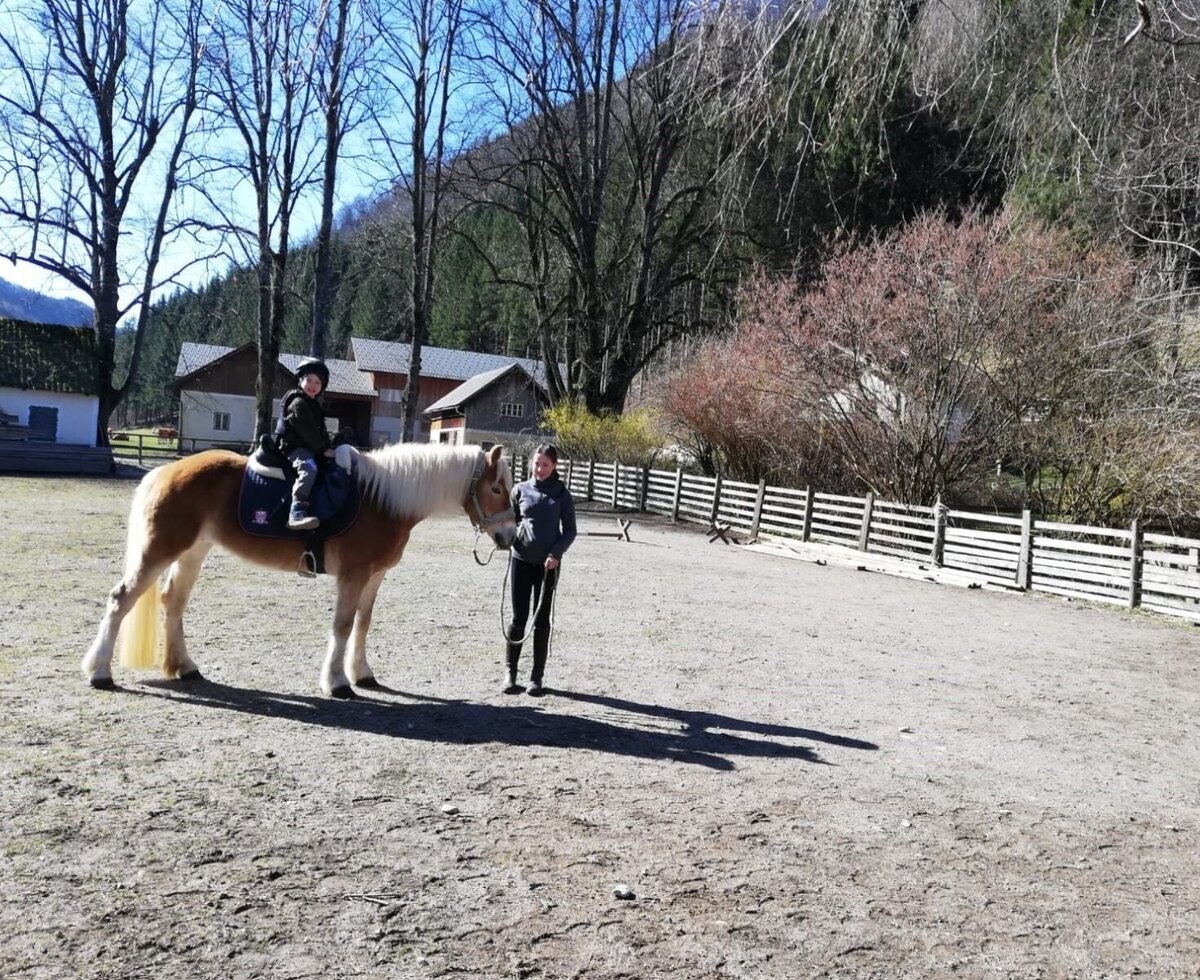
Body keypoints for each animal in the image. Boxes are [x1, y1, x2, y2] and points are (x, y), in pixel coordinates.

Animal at [81, 442, 517, 698]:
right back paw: (100, 672)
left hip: (193, 552)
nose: (510, 536)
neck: (381, 499)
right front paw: (337, 682)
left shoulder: (375, 576)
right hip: (159, 551)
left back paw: (185, 667)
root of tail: (163, 472)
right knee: (120, 600)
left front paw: (362, 673)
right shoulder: (353, 575)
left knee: (173, 602)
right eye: (497, 488)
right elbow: (342, 626)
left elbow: (362, 624)